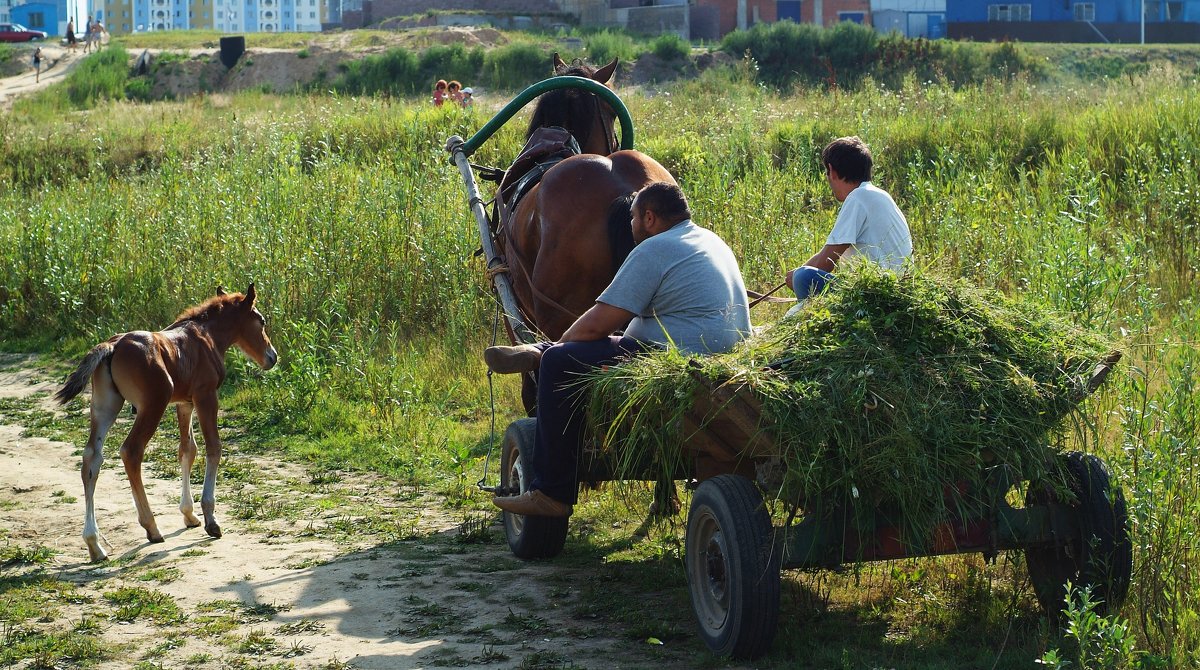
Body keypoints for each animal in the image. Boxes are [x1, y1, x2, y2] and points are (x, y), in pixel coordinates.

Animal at [55, 283, 277, 561]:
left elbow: (187, 450)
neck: (206, 337)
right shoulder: (206, 396)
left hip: (105, 406)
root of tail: (111, 345)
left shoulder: (185, 403)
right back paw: (151, 527)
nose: (272, 357)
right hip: (153, 405)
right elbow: (213, 448)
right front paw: (210, 518)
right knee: (131, 451)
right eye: (261, 321)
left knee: (92, 458)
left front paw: (189, 514)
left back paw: (95, 545)